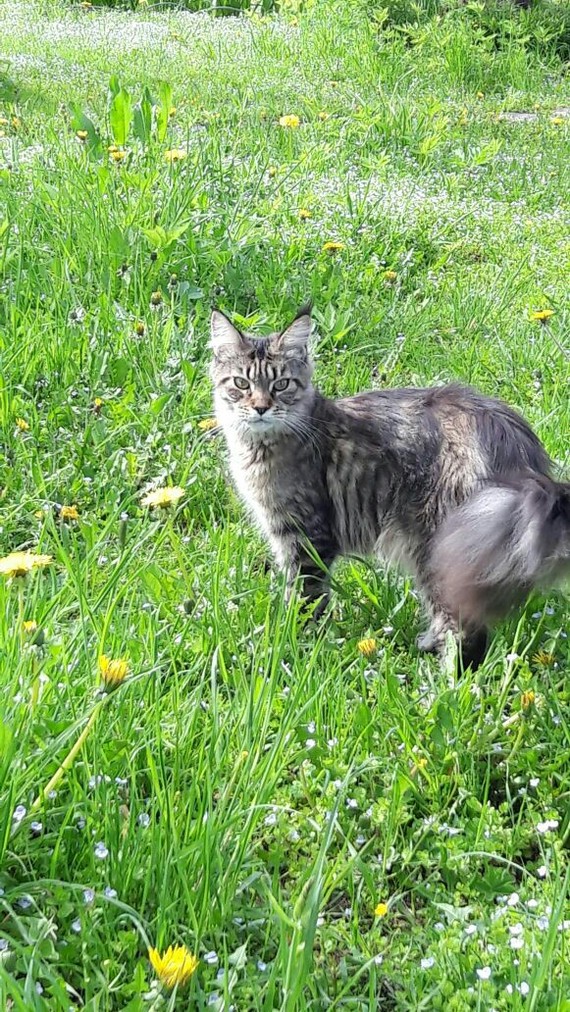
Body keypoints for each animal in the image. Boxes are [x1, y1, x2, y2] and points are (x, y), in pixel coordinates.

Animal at [210, 305, 570, 671]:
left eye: (281, 384)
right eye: (241, 383)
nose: (261, 407)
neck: (259, 447)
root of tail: (508, 435)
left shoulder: (306, 536)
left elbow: (305, 598)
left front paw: (295, 644)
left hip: (438, 550)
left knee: (466, 629)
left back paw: (445, 679)